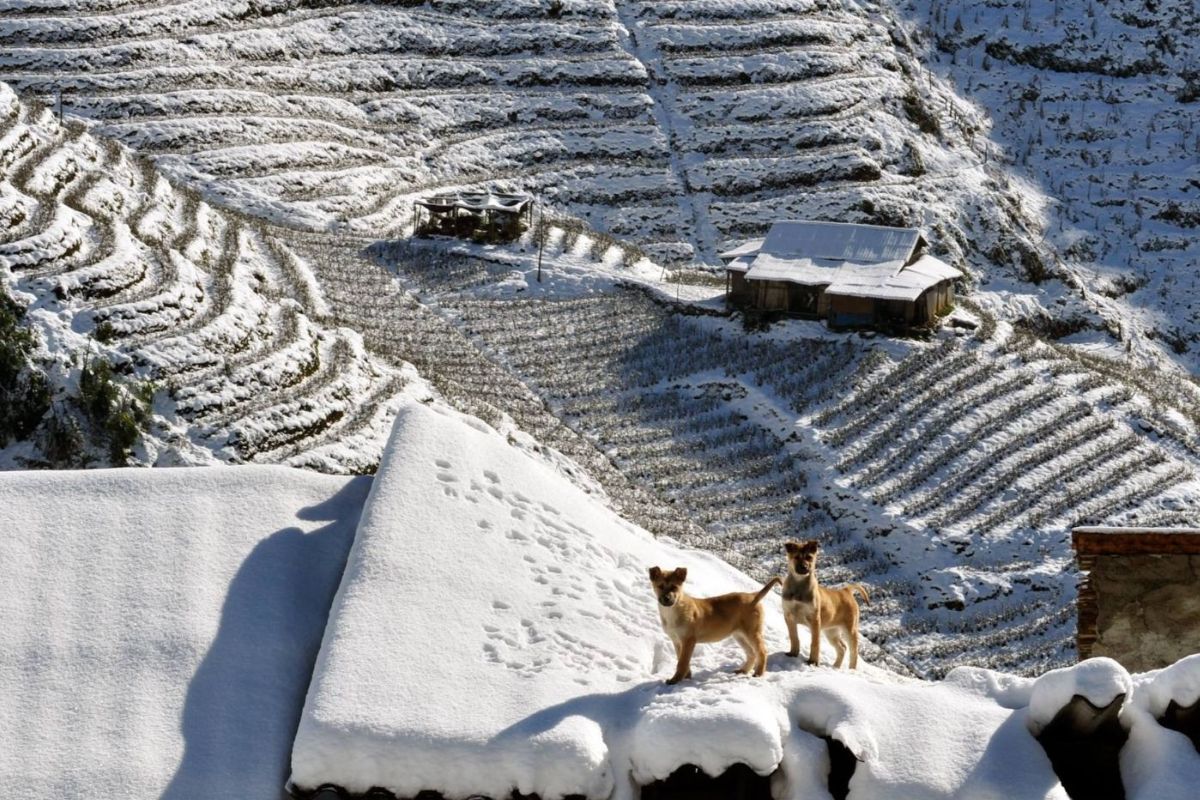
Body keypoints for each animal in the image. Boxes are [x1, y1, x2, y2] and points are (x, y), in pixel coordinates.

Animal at [652, 566, 782, 686]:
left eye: (674, 587)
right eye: (660, 586)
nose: (667, 599)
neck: (673, 611)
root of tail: (753, 596)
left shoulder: (688, 640)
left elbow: (682, 662)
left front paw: (676, 679)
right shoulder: (677, 641)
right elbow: (681, 659)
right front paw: (687, 676)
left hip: (752, 632)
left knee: (762, 652)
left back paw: (759, 673)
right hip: (739, 635)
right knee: (751, 653)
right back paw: (743, 670)